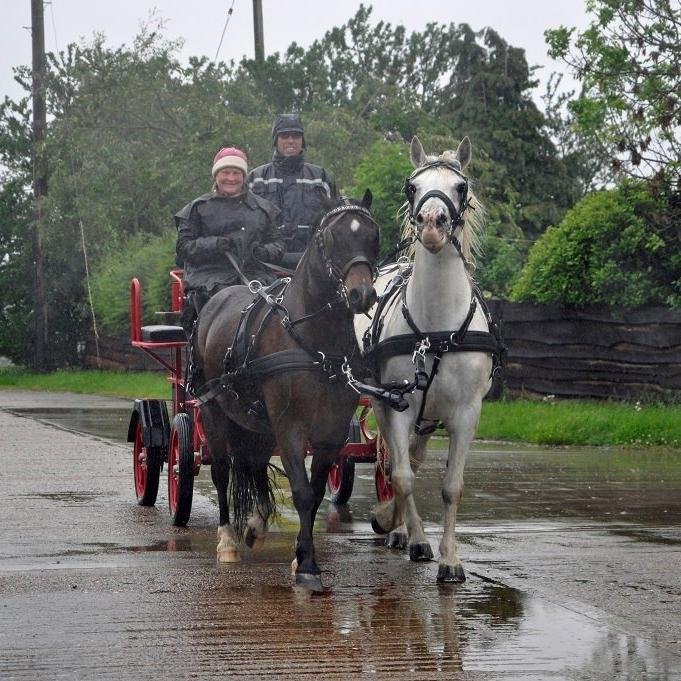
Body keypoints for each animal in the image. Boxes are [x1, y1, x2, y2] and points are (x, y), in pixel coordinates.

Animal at [193, 192, 380, 591]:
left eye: (373, 235)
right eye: (332, 238)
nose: (361, 294)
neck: (315, 344)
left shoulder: (330, 431)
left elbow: (317, 490)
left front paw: (300, 556)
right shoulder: (290, 426)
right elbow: (302, 492)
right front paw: (307, 566)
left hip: (256, 422)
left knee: (253, 465)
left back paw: (255, 524)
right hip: (214, 411)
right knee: (222, 470)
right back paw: (227, 540)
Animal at [355, 136, 502, 583]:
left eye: (461, 186)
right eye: (412, 187)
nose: (432, 223)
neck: (436, 331)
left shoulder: (467, 413)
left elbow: (451, 486)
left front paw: (451, 559)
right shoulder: (395, 405)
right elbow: (401, 477)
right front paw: (403, 528)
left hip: (426, 415)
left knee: (414, 459)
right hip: (388, 406)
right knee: (396, 465)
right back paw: (404, 530)